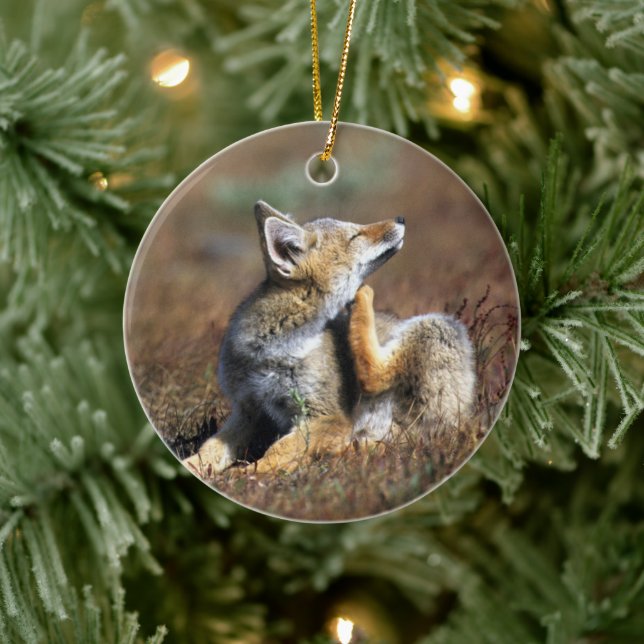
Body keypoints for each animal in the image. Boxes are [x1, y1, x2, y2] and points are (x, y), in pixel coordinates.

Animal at [184, 201, 476, 475]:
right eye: (356, 235)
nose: (401, 218)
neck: (270, 350)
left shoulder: (329, 415)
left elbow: (277, 449)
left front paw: (249, 474)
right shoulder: (249, 410)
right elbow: (210, 448)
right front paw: (193, 468)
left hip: (438, 326)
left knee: (376, 382)